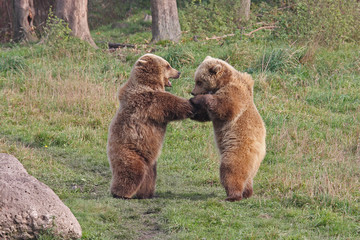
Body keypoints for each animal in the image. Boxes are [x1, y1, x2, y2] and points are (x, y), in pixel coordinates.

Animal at [107, 54, 194, 199]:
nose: (179, 72)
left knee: (149, 176)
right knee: (130, 172)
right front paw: (193, 103)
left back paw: (146, 194)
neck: (150, 84)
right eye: (168, 65)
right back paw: (121, 193)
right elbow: (172, 104)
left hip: (149, 161)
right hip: (129, 152)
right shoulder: (149, 101)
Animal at [190, 55, 266, 201]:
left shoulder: (234, 92)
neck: (224, 81)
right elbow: (206, 114)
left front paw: (198, 99)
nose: (192, 92)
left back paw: (232, 195)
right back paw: (247, 192)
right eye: (196, 80)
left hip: (239, 149)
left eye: (199, 81)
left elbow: (225, 106)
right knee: (247, 177)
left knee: (231, 169)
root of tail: (262, 152)